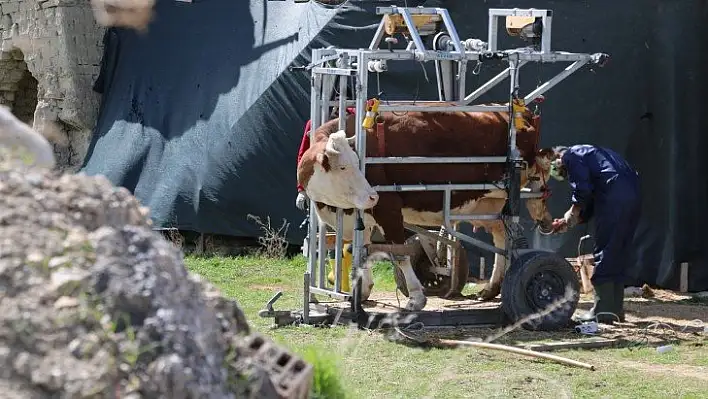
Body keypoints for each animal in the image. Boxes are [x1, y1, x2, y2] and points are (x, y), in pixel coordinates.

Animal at [296, 106, 556, 312]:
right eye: (343, 167)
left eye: (358, 163)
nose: (372, 196)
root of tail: (524, 113)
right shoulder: (359, 217)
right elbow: (361, 250)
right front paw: (363, 291)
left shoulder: (389, 208)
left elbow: (399, 254)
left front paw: (416, 298)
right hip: (487, 202)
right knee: (501, 234)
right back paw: (492, 288)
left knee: (526, 210)